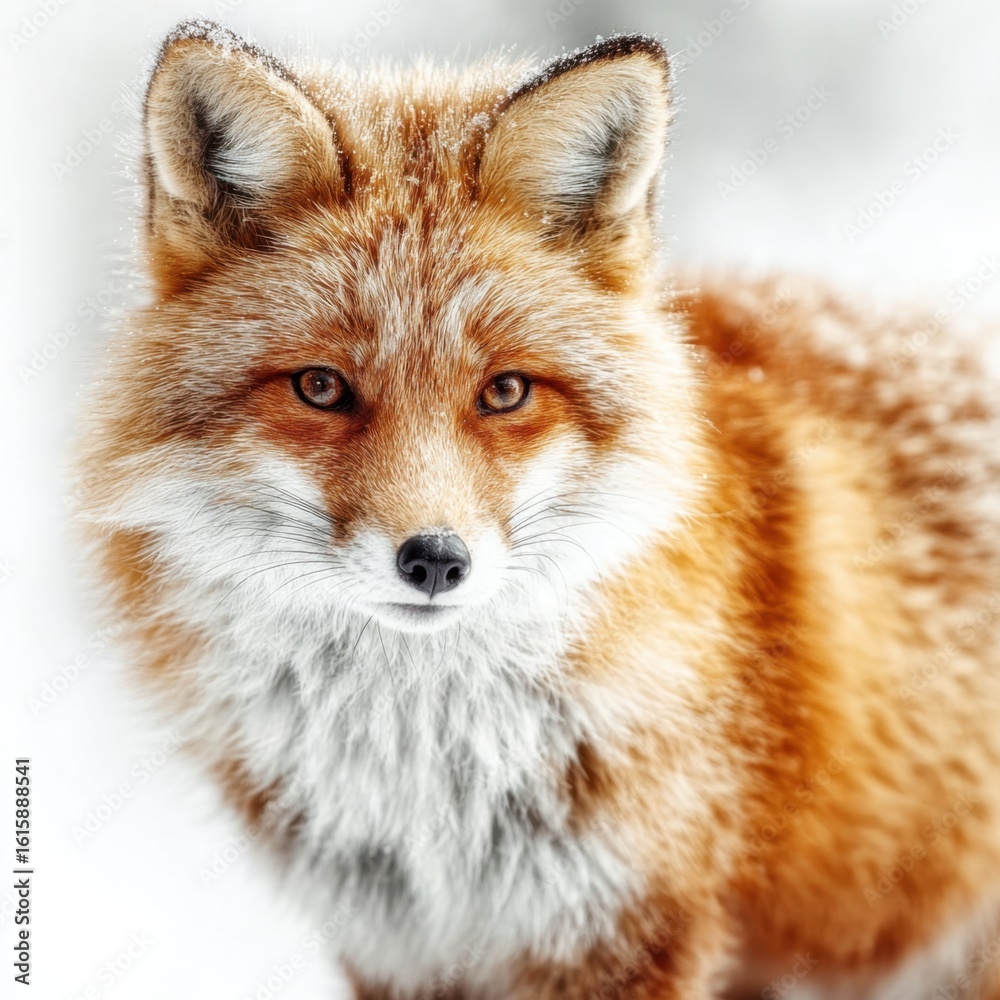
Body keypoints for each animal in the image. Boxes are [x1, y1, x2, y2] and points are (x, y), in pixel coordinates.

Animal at [77, 19, 1000, 1000]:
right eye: (320, 387)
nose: (435, 560)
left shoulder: (624, 929)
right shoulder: (400, 948)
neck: (428, 775)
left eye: (506, 391)